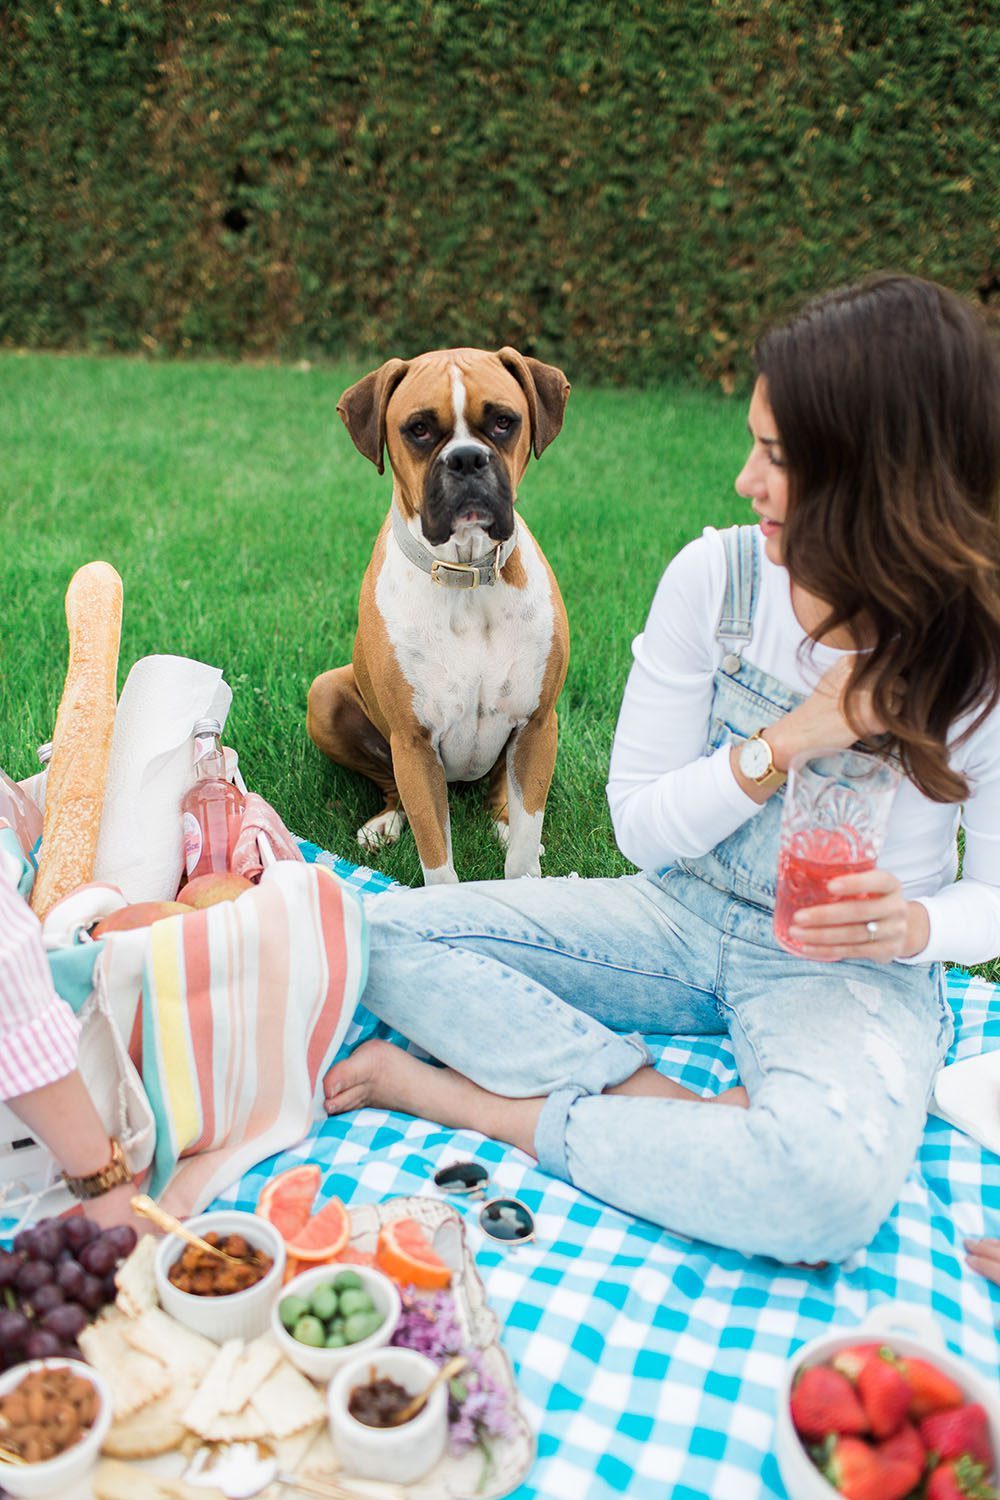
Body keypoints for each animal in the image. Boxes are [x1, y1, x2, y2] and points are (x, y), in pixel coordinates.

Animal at [305, 345, 569, 882]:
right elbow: (437, 857)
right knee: (392, 786)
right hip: (326, 696)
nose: (467, 458)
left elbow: (524, 847)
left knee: (503, 791)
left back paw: (502, 819)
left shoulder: (537, 725)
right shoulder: (414, 743)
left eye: (504, 422)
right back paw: (385, 823)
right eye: (419, 429)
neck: (464, 574)